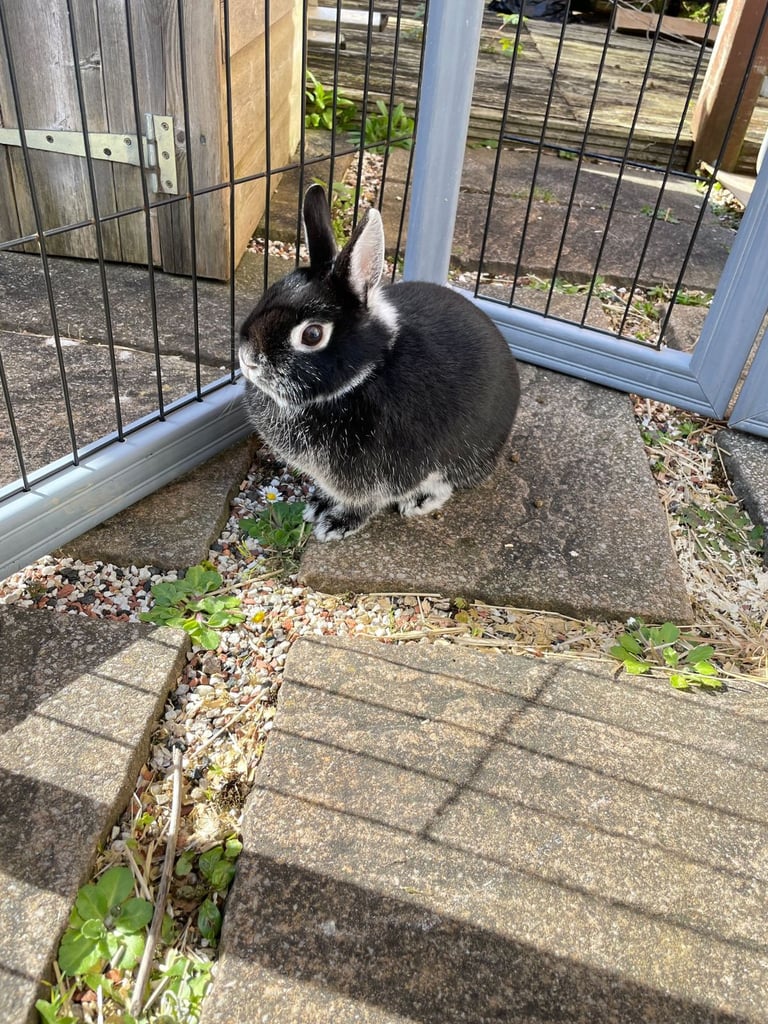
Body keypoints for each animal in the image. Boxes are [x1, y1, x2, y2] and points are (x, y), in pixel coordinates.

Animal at [239, 184, 521, 541]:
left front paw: (336, 524)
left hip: (468, 454)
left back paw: (419, 502)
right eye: (270, 293)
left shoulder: (386, 473)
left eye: (312, 334)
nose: (248, 359)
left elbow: (368, 502)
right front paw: (319, 505)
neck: (365, 375)